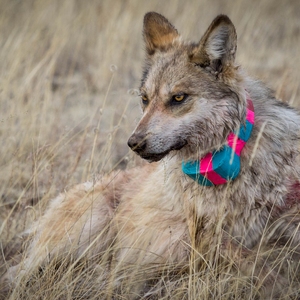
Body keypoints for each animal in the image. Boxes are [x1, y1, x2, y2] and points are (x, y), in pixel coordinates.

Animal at [2, 11, 300, 298]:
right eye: (144, 99)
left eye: (178, 98)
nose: (133, 143)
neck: (233, 161)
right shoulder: (207, 244)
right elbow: (262, 270)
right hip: (87, 225)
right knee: (20, 273)